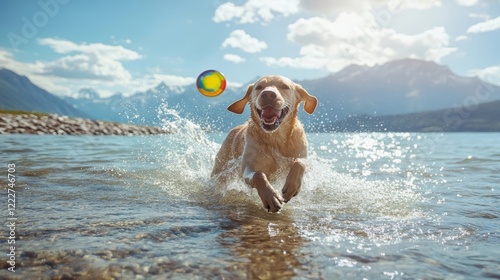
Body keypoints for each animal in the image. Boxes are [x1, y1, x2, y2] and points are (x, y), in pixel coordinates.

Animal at [210, 75, 316, 212]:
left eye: (285, 86)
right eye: (259, 87)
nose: (268, 94)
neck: (275, 138)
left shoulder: (302, 157)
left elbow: (300, 163)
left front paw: (291, 187)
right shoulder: (247, 168)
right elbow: (258, 175)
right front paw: (271, 197)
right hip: (220, 171)